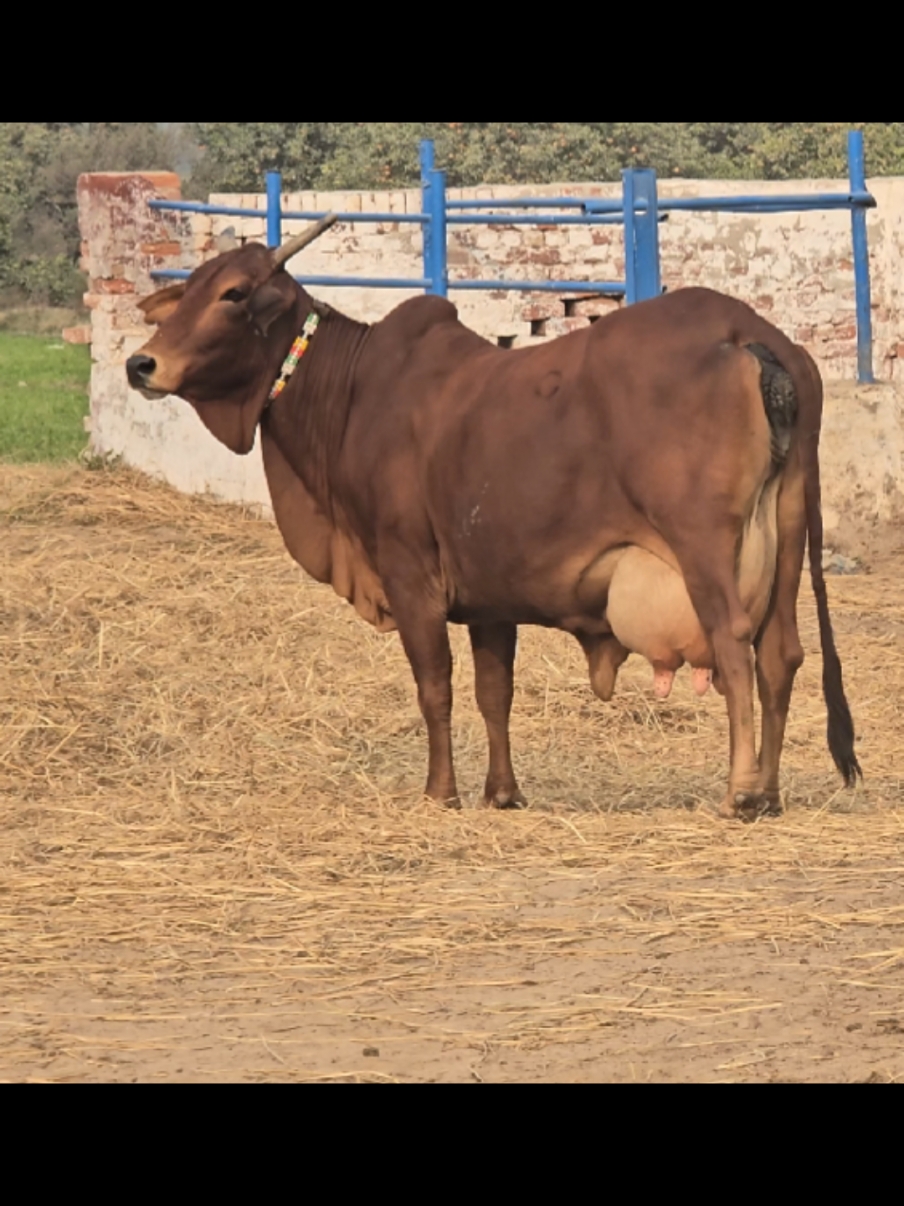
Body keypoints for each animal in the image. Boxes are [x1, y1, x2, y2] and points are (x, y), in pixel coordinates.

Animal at [127, 221, 863, 820]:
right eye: (187, 290)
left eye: (234, 293)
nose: (141, 363)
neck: (353, 392)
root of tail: (749, 335)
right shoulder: (488, 597)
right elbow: (493, 692)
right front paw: (502, 792)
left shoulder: (410, 573)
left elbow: (436, 688)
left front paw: (440, 792)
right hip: (788, 537)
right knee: (781, 654)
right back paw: (769, 790)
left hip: (702, 546)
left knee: (735, 645)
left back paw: (740, 792)